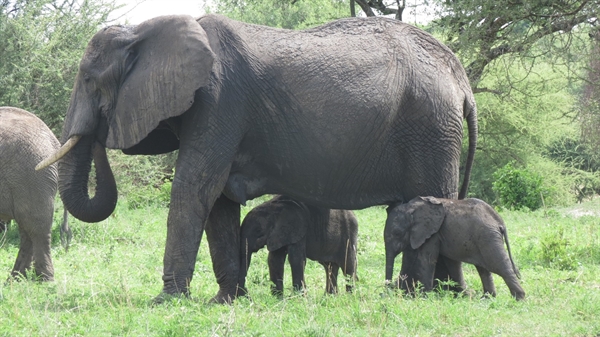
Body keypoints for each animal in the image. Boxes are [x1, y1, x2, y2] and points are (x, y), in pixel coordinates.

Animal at [0, 106, 71, 280]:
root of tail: (53, 141)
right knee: (27, 229)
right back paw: (16, 280)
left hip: (31, 174)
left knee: (36, 227)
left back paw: (44, 280)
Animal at [38, 13, 478, 302]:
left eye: (89, 80)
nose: (99, 129)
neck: (144, 30)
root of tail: (460, 79)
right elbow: (217, 200)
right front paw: (225, 300)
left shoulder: (219, 102)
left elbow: (195, 187)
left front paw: (166, 301)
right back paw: (426, 294)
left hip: (431, 126)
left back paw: (433, 295)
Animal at [384, 197, 524, 300]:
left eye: (397, 233)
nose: (388, 290)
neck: (410, 207)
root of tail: (499, 221)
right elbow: (451, 263)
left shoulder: (432, 233)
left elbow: (427, 259)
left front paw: (424, 296)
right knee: (484, 269)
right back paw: (487, 298)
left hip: (488, 237)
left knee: (500, 266)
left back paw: (519, 299)